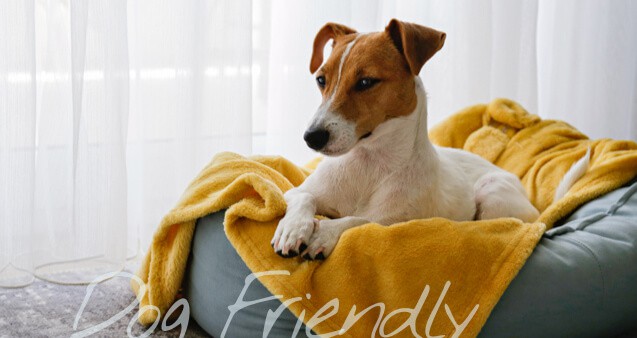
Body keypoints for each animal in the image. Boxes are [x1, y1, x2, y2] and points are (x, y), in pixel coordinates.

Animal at [268, 19, 540, 262]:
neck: (369, 163)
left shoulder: (396, 223)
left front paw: (323, 233)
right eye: (321, 80)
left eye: (365, 82)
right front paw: (292, 229)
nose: (311, 137)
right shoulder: (296, 191)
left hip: (492, 194)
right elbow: (304, 197)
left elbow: (358, 219)